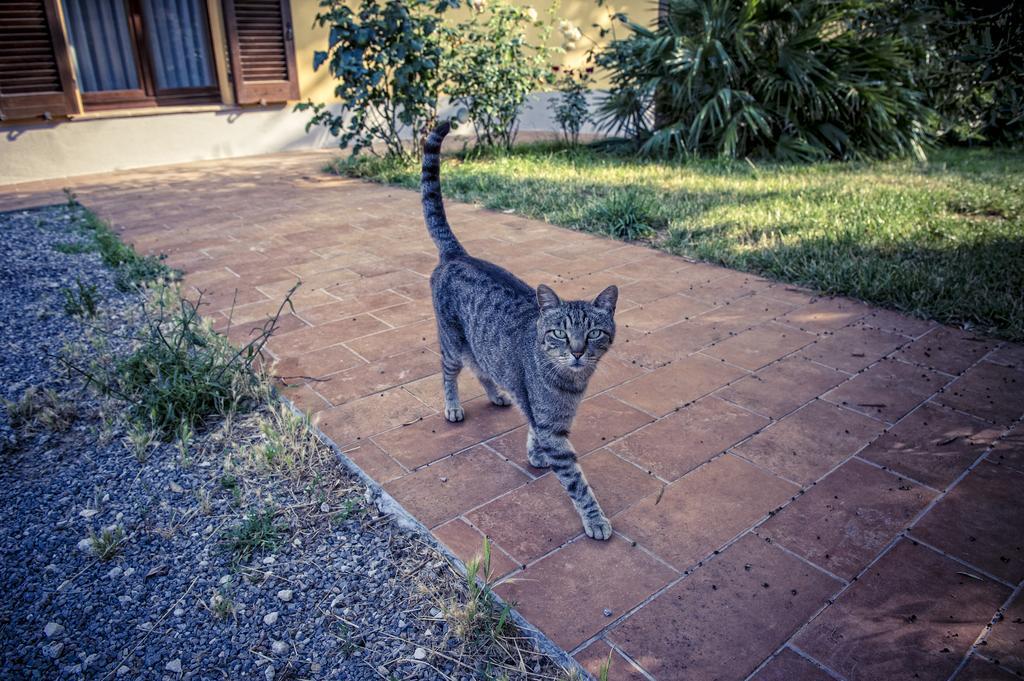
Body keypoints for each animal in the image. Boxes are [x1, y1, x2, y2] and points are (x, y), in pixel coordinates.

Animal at [417, 119, 614, 540]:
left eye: (593, 334)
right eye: (559, 333)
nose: (576, 351)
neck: (571, 383)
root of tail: (458, 254)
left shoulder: (549, 417)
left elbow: (533, 428)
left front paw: (533, 452)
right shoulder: (554, 428)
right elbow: (577, 482)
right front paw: (595, 519)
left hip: (480, 344)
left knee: (482, 367)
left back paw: (496, 395)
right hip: (452, 341)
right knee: (449, 373)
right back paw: (453, 406)